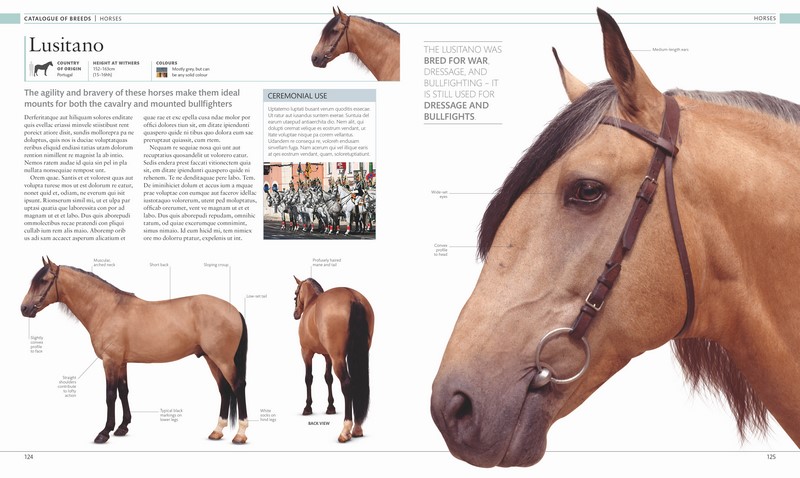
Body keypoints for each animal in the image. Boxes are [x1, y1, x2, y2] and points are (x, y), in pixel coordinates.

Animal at [20, 258, 249, 444]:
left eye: (43, 281)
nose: (24, 308)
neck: (107, 309)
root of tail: (234, 310)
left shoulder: (110, 361)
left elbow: (110, 395)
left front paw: (104, 432)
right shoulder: (121, 362)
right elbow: (124, 392)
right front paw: (122, 427)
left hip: (223, 360)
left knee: (237, 386)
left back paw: (240, 435)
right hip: (211, 359)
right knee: (224, 390)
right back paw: (217, 431)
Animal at [292, 276, 374, 442]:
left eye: (295, 293)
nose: (295, 314)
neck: (311, 303)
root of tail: (353, 297)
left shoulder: (306, 353)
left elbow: (308, 378)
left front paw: (308, 408)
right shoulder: (327, 356)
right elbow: (328, 378)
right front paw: (330, 407)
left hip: (338, 358)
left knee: (347, 384)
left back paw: (345, 430)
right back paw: (357, 429)